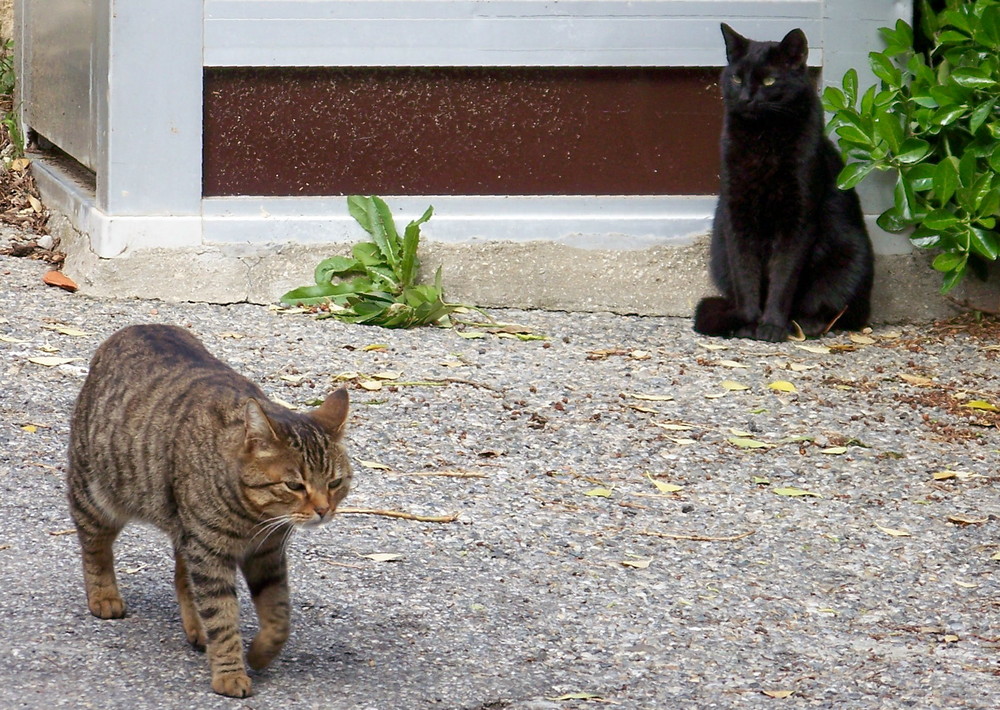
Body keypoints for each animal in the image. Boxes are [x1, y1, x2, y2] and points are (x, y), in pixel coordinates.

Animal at [67, 324, 352, 700]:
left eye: (335, 482)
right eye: (294, 485)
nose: (323, 509)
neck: (255, 519)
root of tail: (136, 327)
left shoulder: (266, 554)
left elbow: (279, 615)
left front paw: (260, 653)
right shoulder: (210, 553)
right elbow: (223, 617)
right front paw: (230, 673)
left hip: (183, 527)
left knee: (181, 575)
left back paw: (196, 629)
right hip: (96, 494)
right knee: (94, 546)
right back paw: (104, 595)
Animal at [696, 25, 876, 342]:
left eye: (769, 80)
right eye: (737, 78)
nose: (746, 97)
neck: (763, 139)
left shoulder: (798, 219)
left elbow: (783, 278)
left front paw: (771, 326)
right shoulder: (736, 214)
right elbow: (746, 275)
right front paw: (748, 322)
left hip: (850, 258)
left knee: (838, 309)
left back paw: (806, 323)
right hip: (719, 256)